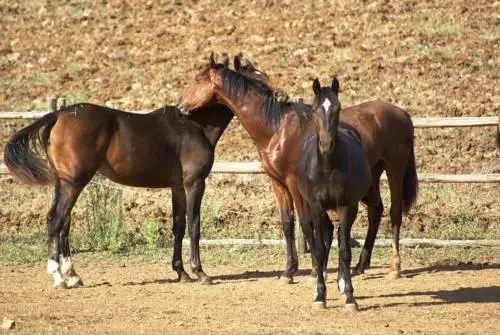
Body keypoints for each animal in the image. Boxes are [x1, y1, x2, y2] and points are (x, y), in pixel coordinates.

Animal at [3, 59, 234, 288]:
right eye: (198, 78)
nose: (181, 106)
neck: (195, 127)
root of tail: (58, 115)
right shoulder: (195, 183)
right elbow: (194, 226)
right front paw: (201, 273)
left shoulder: (177, 187)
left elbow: (179, 226)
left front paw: (182, 273)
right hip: (74, 182)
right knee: (55, 219)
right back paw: (59, 277)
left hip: (63, 183)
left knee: (64, 222)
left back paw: (73, 276)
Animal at [234, 56, 418, 280]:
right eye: (256, 78)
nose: (280, 94)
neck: (277, 129)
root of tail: (403, 115)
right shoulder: (278, 184)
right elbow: (289, 223)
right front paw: (291, 270)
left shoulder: (294, 184)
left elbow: (308, 223)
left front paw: (313, 269)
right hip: (372, 175)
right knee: (376, 209)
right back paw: (360, 265)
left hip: (395, 169)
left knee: (395, 212)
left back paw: (395, 267)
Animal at [296, 77, 376, 312]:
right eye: (314, 110)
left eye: (338, 108)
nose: (326, 145)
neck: (327, 168)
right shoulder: (316, 207)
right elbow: (320, 249)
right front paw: (320, 295)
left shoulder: (347, 206)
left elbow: (345, 250)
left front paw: (349, 296)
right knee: (325, 239)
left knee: (340, 238)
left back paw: (341, 283)